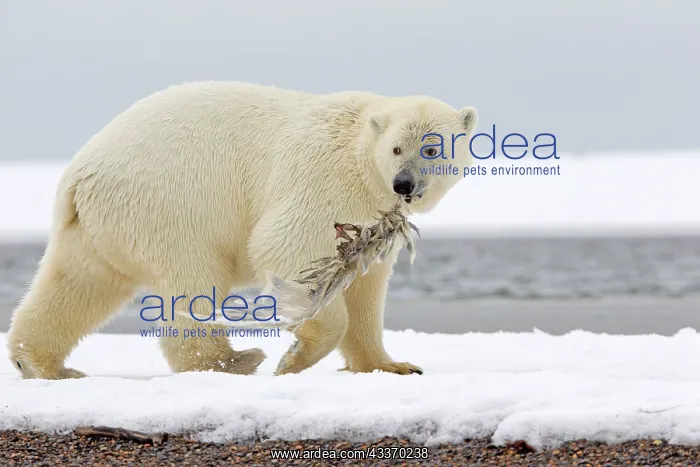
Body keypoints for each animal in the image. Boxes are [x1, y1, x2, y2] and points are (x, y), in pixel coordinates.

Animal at [7, 81, 478, 380]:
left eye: (432, 148)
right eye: (397, 148)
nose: (404, 184)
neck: (361, 154)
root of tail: (79, 173)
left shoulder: (370, 218)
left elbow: (366, 285)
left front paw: (392, 365)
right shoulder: (324, 180)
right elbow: (282, 246)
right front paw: (294, 358)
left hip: (97, 228)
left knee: (77, 284)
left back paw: (42, 364)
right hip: (171, 206)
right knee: (193, 286)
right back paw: (235, 361)